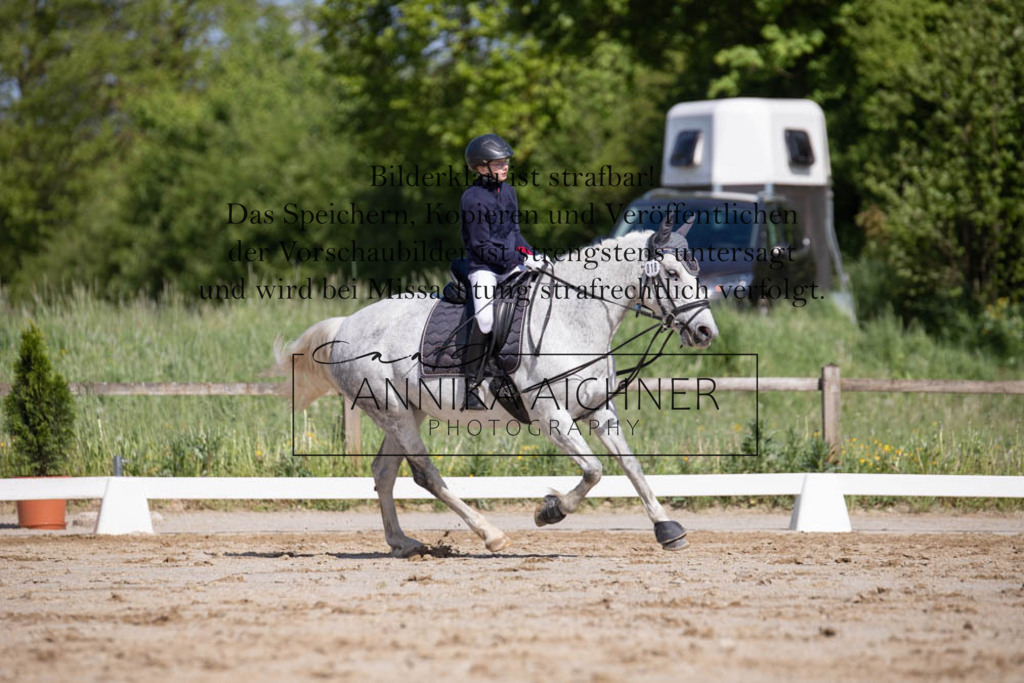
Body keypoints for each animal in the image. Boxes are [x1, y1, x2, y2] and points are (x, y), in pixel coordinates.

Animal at [276, 224, 716, 557]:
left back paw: (403, 543)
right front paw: (550, 511)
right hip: (394, 414)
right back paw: (491, 535)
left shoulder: (598, 410)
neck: (573, 319)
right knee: (426, 476)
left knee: (384, 474)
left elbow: (631, 466)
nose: (705, 332)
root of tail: (346, 324)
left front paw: (667, 529)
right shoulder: (550, 415)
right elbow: (594, 470)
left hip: (405, 413)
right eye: (672, 274)